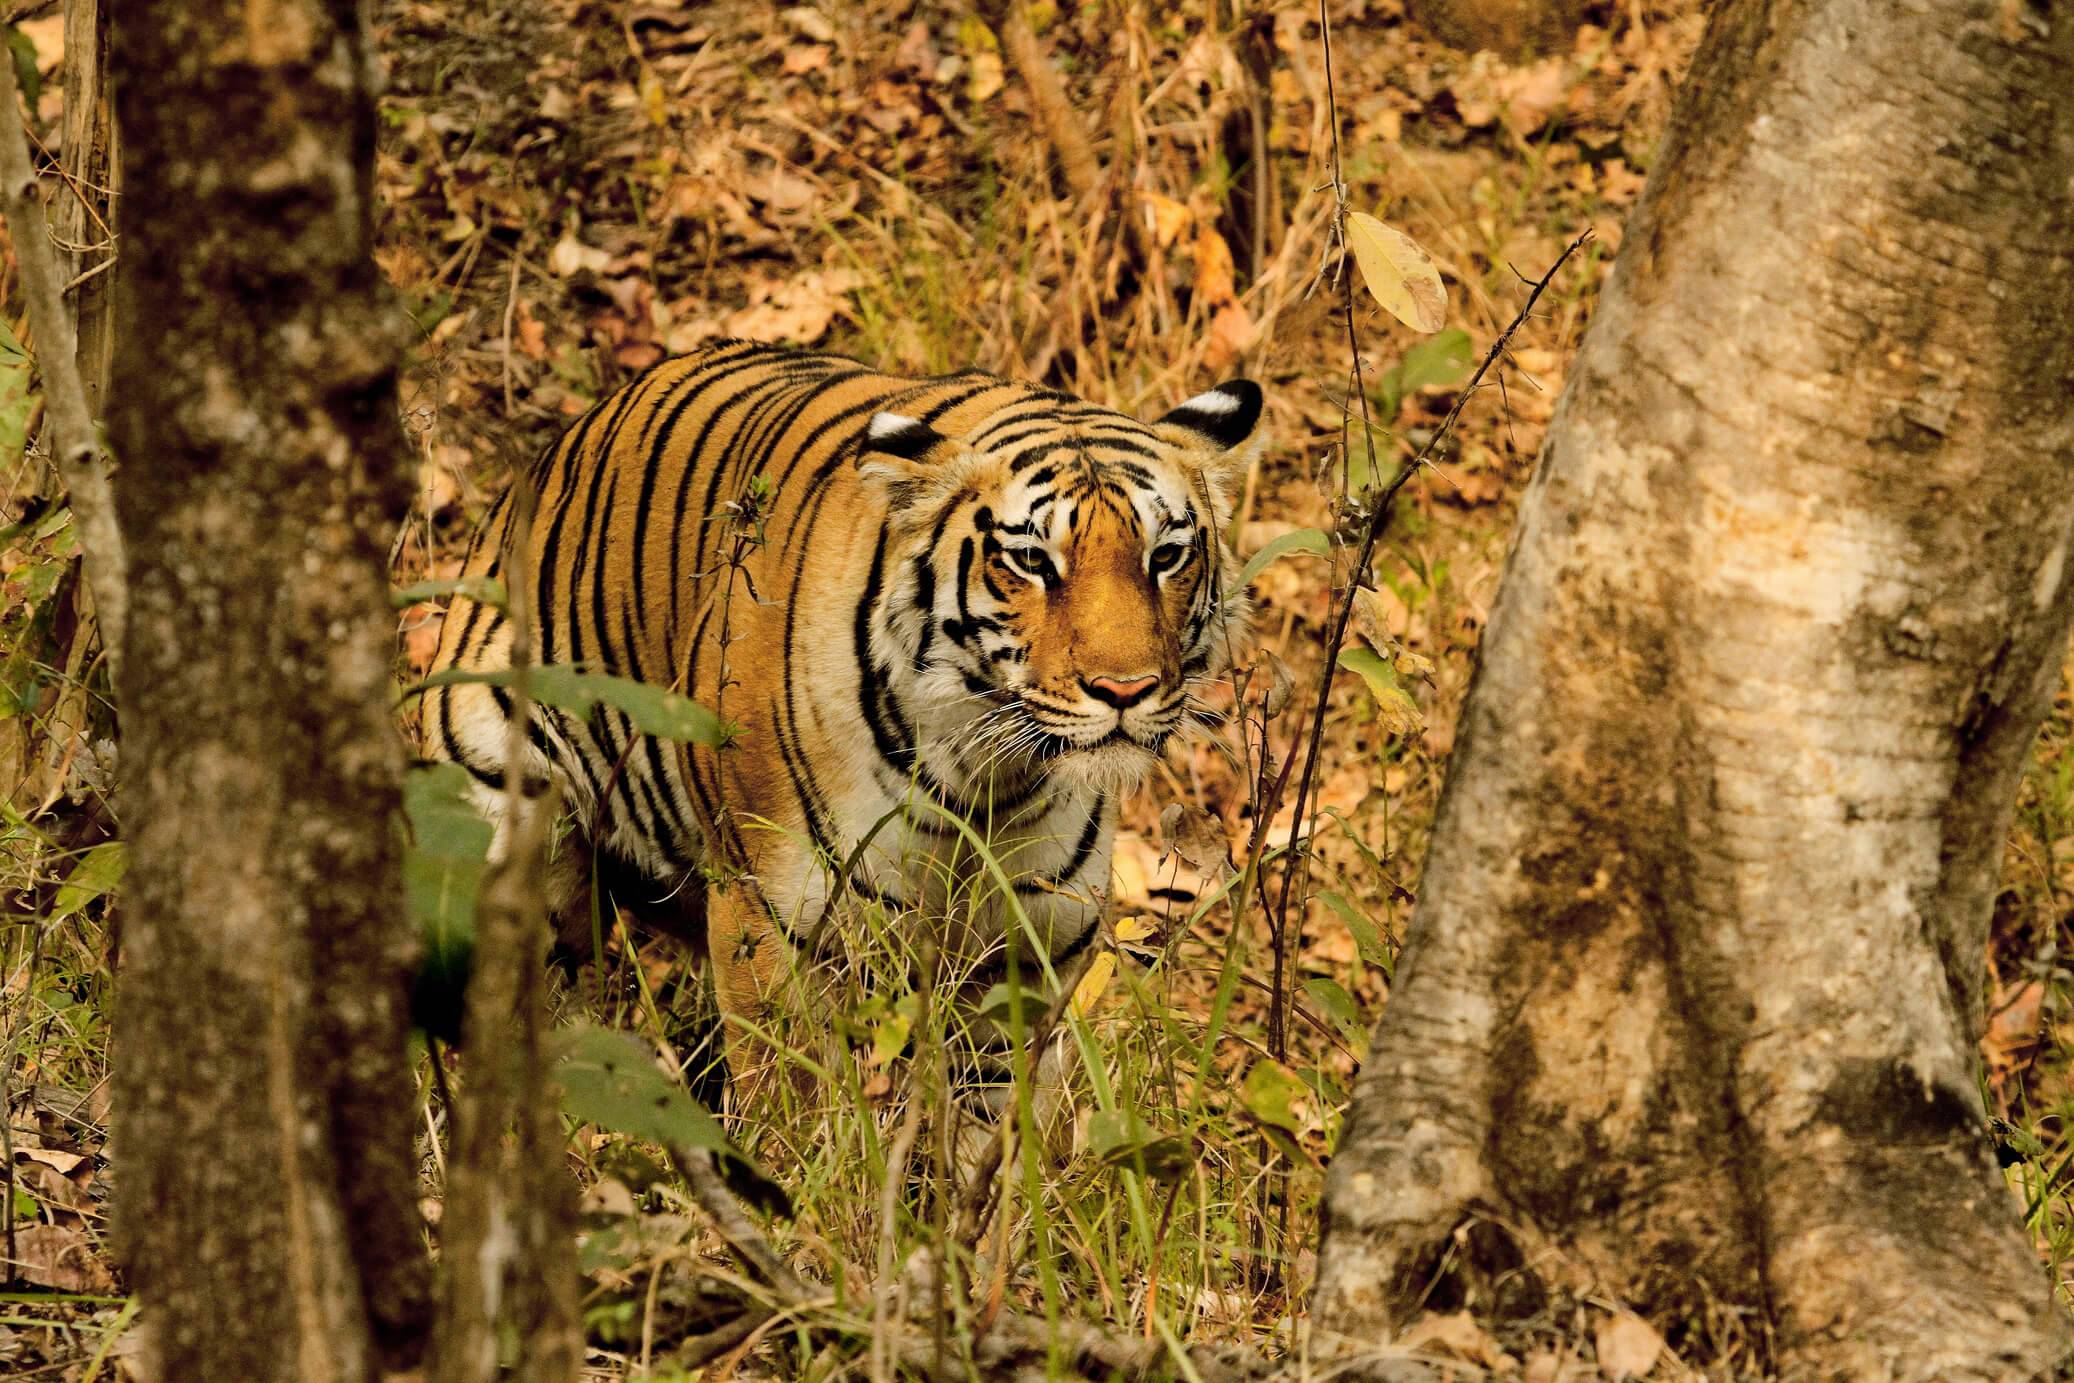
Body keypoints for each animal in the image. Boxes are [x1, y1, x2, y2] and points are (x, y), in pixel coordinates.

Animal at [421, 338, 1262, 1106]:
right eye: (1030, 561)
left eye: (1166, 554)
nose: (1127, 688)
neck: (988, 780)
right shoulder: (768, 919)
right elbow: (794, 1103)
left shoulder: (1029, 952)